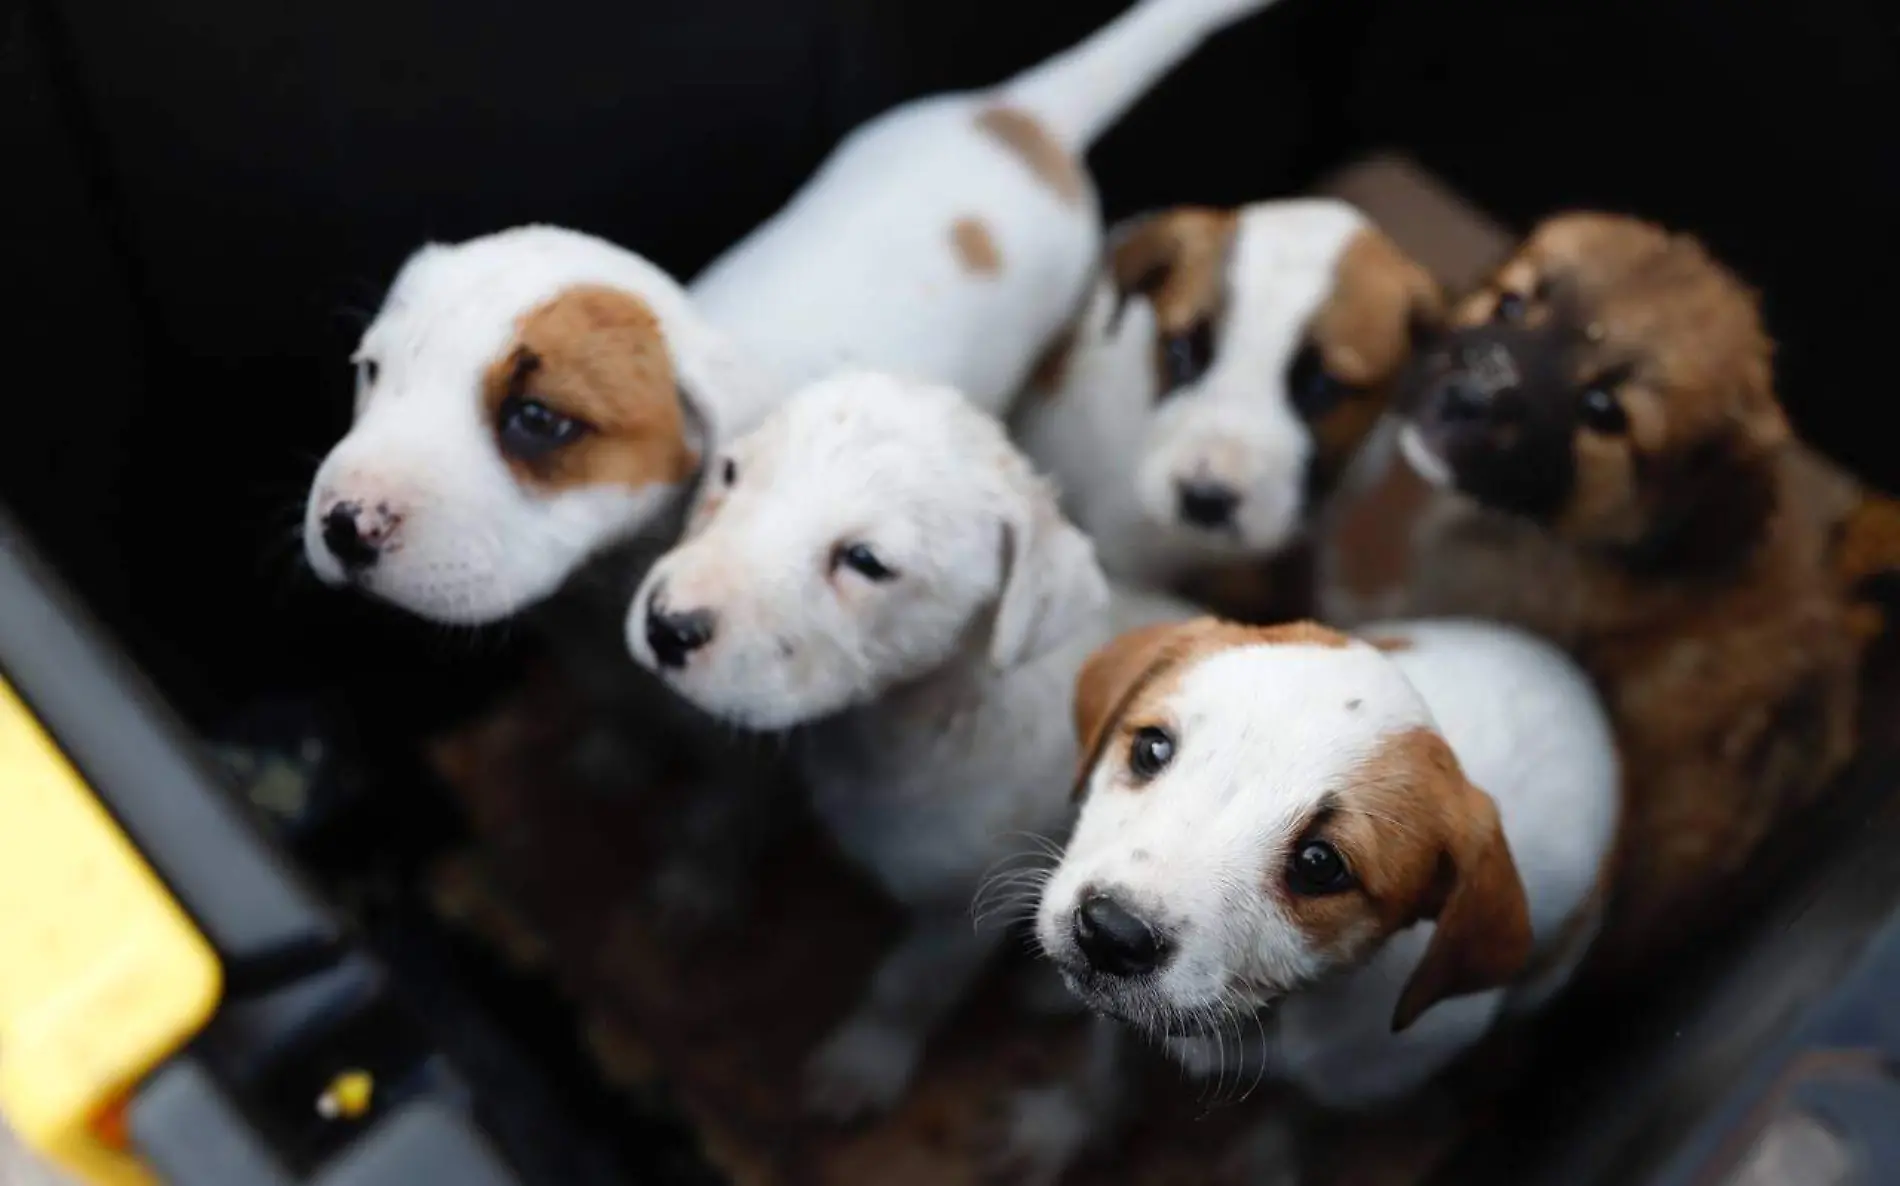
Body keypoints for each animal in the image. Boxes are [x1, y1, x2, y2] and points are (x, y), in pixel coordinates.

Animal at [623, 372, 1185, 1117]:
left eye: (866, 561)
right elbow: (731, 810)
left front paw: (862, 1065)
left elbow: (908, 989)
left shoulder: (962, 907)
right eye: (732, 473)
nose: (666, 626)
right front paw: (698, 881)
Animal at [995, 615, 1618, 1178]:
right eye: (1151, 749)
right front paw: (1063, 1129)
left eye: (1320, 866)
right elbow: (1104, 1065)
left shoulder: (1343, 1093)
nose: (1109, 933)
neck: (1272, 1011)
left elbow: (1294, 1125)